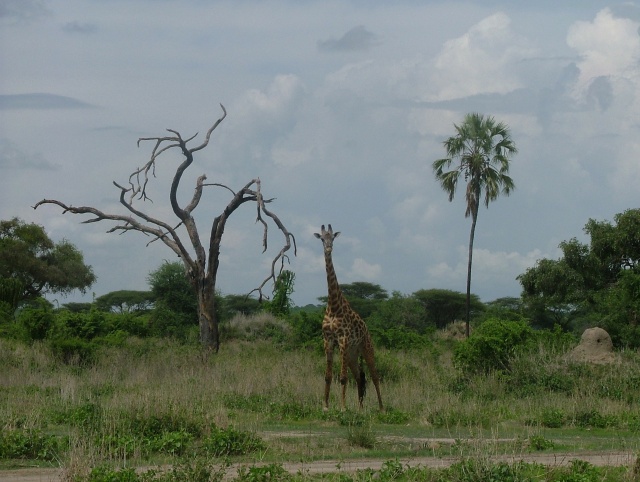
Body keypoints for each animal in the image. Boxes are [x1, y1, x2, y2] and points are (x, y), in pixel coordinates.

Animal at [314, 224, 383, 411]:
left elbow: (343, 377)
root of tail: (367, 330)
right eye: (322, 239)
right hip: (353, 354)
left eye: (333, 238)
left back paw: (382, 407)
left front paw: (343, 408)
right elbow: (328, 376)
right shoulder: (328, 340)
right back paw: (360, 408)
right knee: (360, 376)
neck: (333, 306)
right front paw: (325, 406)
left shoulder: (343, 339)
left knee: (374, 376)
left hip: (366, 348)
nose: (328, 249)